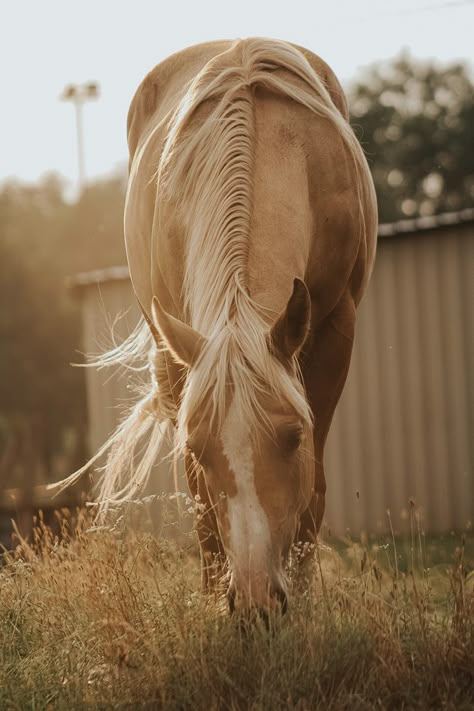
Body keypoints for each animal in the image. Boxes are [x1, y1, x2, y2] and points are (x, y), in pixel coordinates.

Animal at [65, 37, 378, 612]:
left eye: (293, 437)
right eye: (196, 445)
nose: (256, 601)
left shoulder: (333, 332)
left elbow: (314, 491)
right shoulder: (180, 353)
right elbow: (201, 502)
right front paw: (215, 602)